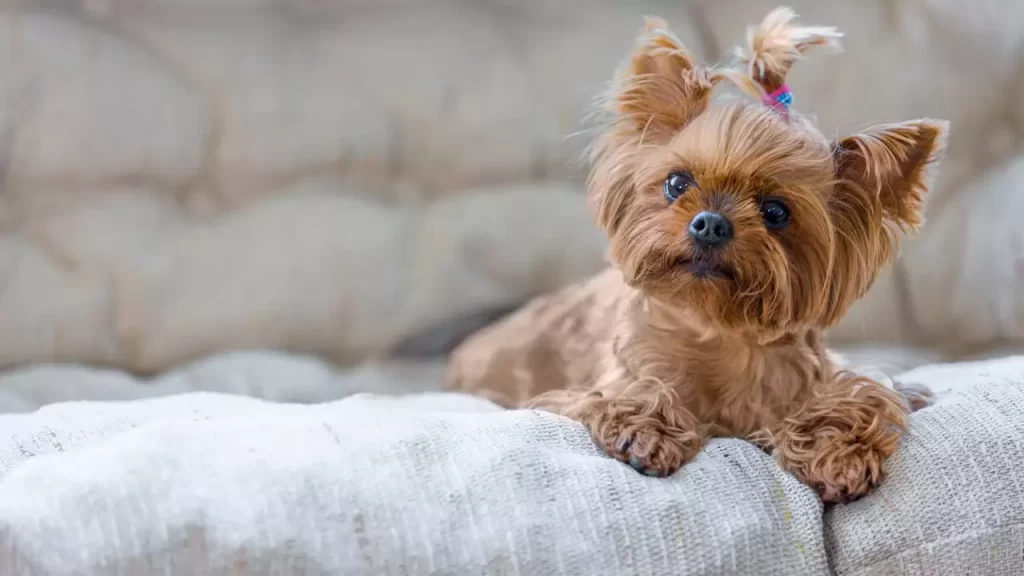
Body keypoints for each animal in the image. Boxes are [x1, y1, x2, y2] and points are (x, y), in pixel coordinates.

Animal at [444, 8, 946, 502]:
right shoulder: (601, 383)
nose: (710, 223)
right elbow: (632, 394)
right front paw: (648, 431)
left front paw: (837, 452)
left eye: (776, 211)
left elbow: (862, 396)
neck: (718, 332)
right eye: (676, 183)